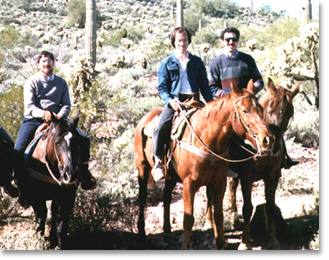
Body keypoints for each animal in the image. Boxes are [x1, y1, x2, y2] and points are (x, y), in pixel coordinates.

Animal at [20, 115, 82, 249]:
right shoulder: (36, 198)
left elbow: (61, 228)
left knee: (53, 213)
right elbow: (40, 223)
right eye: (57, 143)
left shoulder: (68, 197)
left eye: (77, 142)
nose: (70, 175)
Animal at [134, 81, 274, 250]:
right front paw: (186, 246)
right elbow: (188, 219)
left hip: (171, 176)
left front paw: (221, 243)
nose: (268, 139)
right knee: (142, 197)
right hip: (142, 167)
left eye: (260, 108)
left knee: (166, 196)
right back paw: (141, 232)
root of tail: (144, 119)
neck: (206, 141)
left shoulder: (219, 182)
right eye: (245, 110)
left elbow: (218, 215)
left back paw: (167, 228)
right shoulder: (189, 185)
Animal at [205, 77, 300, 250]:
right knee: (210, 193)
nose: (270, 143)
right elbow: (248, 208)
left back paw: (234, 218)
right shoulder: (247, 177)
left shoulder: (272, 176)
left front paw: (272, 240)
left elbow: (270, 206)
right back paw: (209, 222)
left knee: (231, 187)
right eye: (269, 110)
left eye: (289, 113)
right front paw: (245, 242)